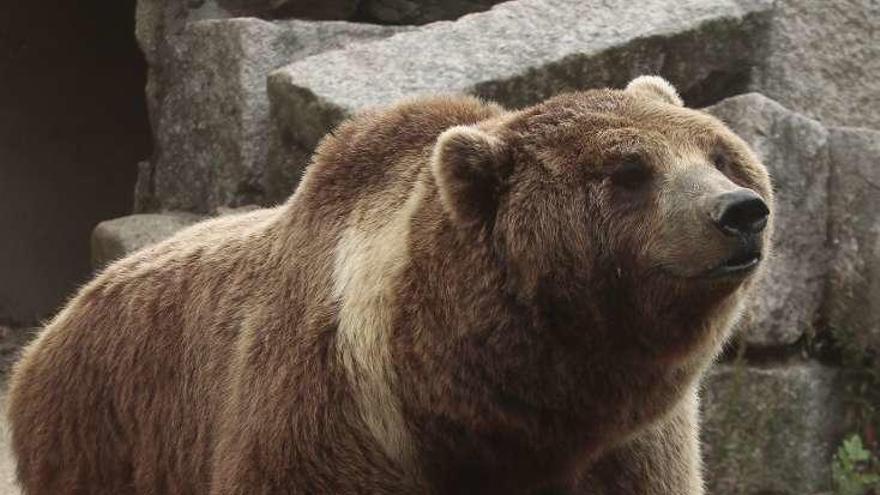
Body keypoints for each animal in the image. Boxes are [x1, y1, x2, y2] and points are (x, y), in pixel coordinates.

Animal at [8, 74, 776, 495]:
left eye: (717, 153)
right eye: (629, 171)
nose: (739, 212)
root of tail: (58, 317)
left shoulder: (625, 447)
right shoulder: (333, 415)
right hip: (104, 431)